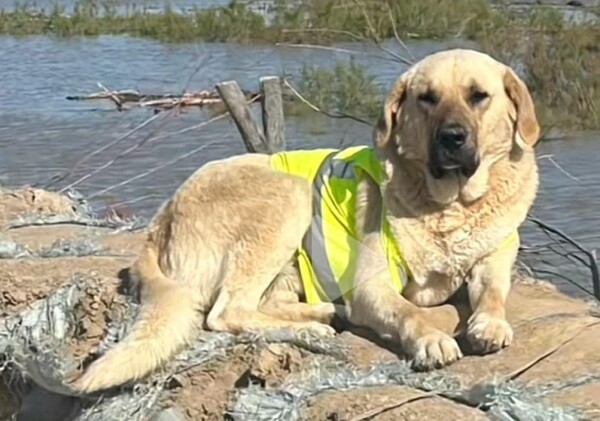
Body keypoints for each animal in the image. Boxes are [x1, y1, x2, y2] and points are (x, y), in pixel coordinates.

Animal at [72, 49, 540, 394]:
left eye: (479, 96)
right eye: (427, 98)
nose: (452, 138)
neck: (451, 205)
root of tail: (162, 218)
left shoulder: (492, 262)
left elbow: (493, 293)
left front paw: (489, 323)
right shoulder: (372, 286)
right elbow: (407, 311)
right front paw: (429, 338)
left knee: (259, 303)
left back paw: (324, 314)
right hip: (291, 194)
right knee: (228, 312)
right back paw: (314, 330)